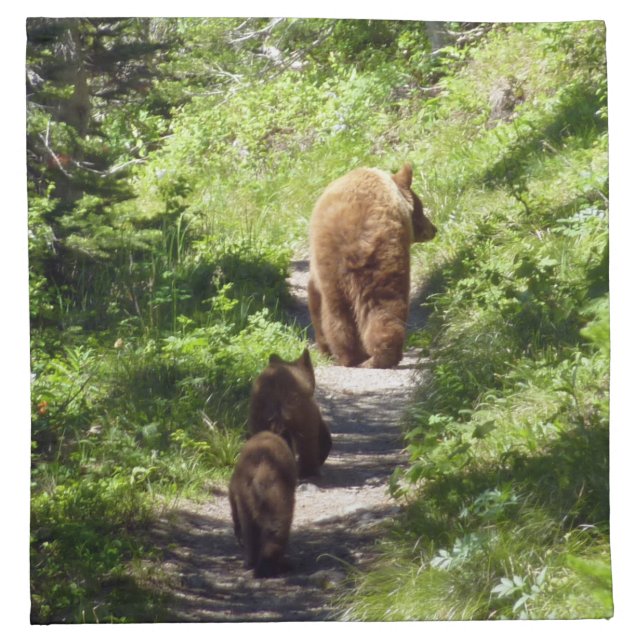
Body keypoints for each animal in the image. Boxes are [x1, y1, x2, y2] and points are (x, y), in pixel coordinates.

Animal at [308, 163, 437, 369]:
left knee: (341, 312)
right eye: (421, 207)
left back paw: (353, 356)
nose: (433, 229)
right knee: (380, 305)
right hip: (378, 259)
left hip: (343, 265)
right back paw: (375, 356)